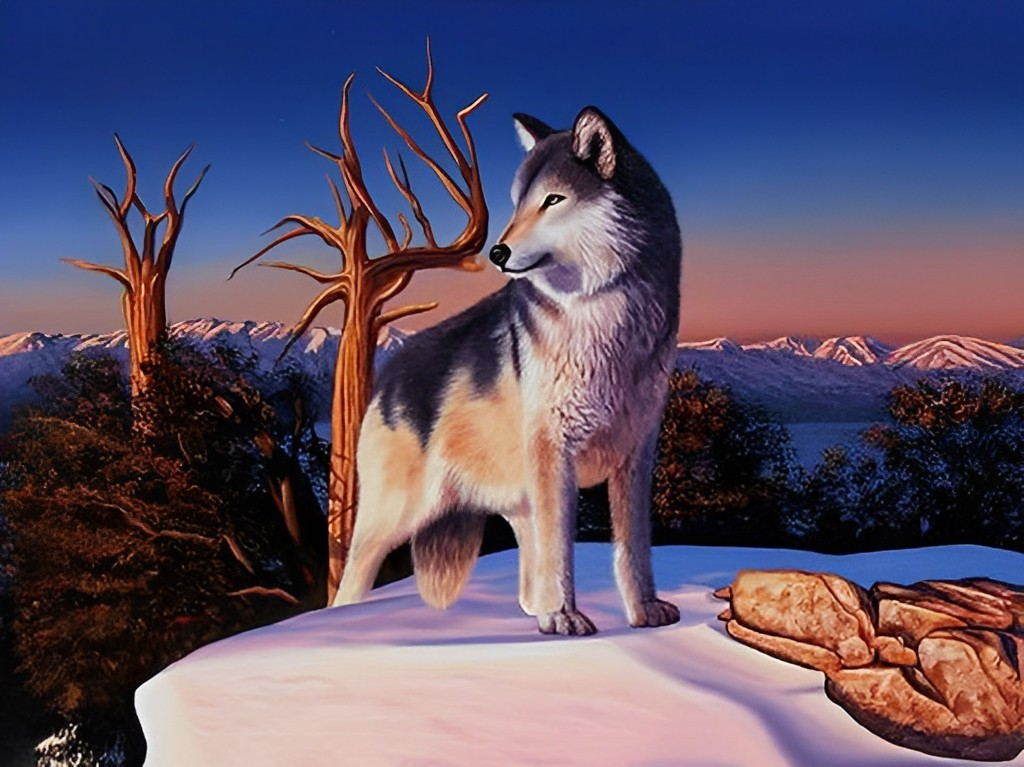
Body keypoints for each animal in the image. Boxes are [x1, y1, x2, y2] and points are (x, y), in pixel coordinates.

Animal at [332, 106, 682, 635]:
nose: (497, 253)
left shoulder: (637, 455)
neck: (602, 316)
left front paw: (643, 612)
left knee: (527, 573)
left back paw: (535, 608)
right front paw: (564, 617)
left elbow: (634, 548)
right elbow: (562, 548)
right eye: (517, 203)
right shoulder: (554, 450)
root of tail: (387, 374)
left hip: (516, 500)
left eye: (553, 200)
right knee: (347, 586)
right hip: (393, 518)